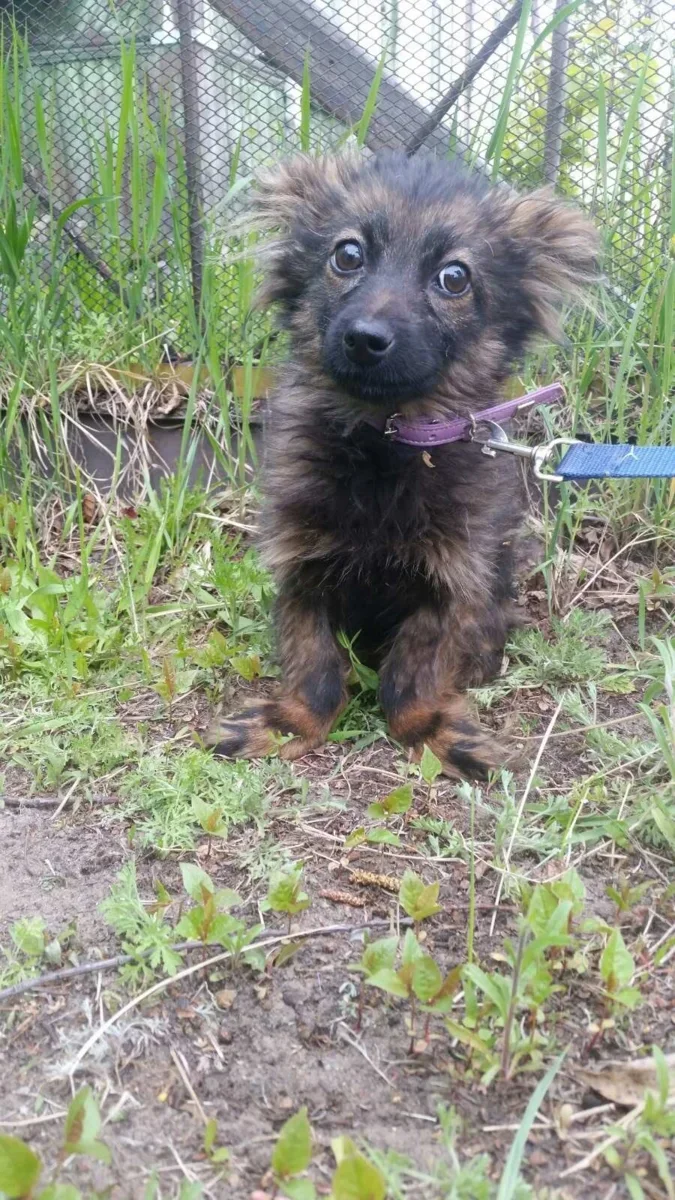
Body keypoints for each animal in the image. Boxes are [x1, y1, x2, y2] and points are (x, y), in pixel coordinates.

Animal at [208, 150, 598, 778]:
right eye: (347, 255)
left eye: (454, 277)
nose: (366, 338)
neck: (385, 439)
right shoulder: (301, 565)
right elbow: (312, 661)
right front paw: (288, 723)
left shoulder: (452, 580)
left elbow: (411, 674)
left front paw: (433, 732)